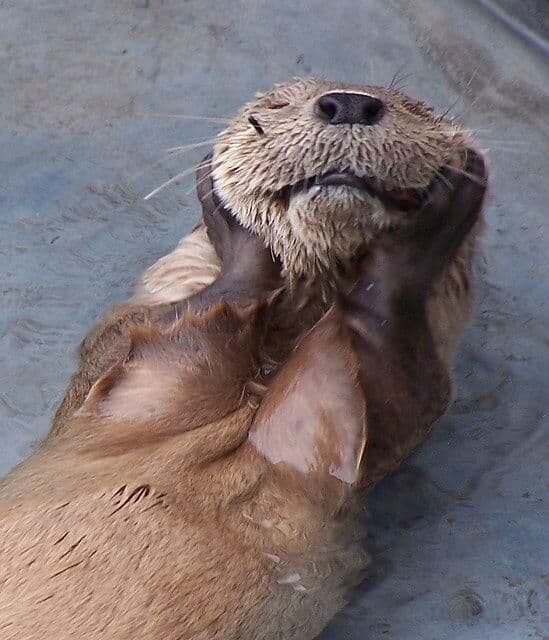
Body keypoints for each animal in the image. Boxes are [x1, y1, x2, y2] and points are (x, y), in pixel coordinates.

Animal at [0, 77, 487, 639]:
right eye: (274, 106)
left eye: (413, 108)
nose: (349, 103)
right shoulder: (118, 382)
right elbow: (189, 335)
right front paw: (236, 226)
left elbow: (389, 387)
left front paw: (445, 209)